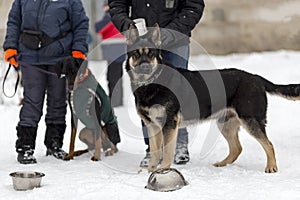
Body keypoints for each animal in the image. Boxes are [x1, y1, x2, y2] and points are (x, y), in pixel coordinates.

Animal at [125, 24, 300, 173]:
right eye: (136, 54)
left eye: (151, 54)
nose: (145, 67)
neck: (151, 83)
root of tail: (256, 78)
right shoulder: (152, 125)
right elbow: (155, 151)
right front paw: (150, 170)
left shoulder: (169, 124)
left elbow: (167, 150)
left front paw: (163, 169)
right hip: (225, 124)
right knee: (237, 148)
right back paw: (223, 164)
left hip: (250, 120)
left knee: (268, 144)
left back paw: (271, 167)